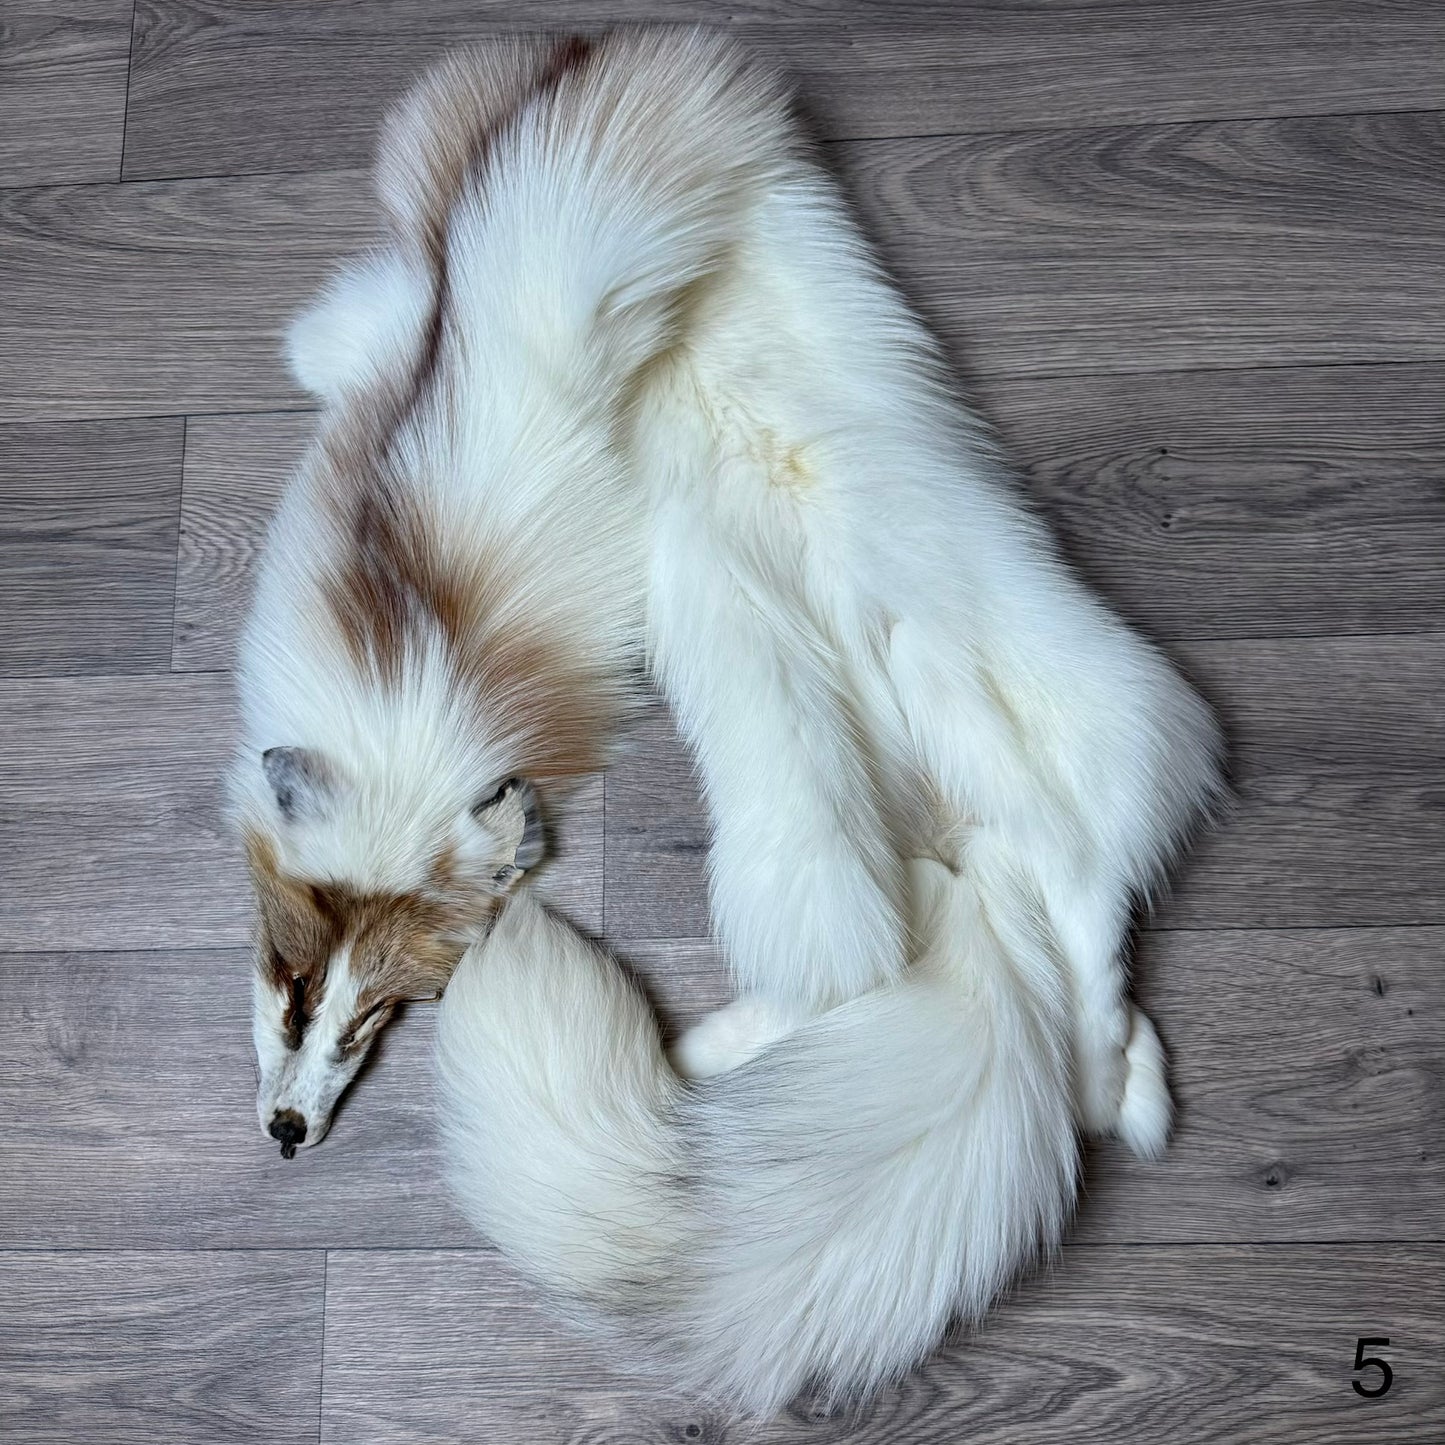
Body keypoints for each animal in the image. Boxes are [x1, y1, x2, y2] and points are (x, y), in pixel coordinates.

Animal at [232, 28, 1221, 1410]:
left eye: (357, 1015)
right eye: (291, 992)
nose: (283, 1135)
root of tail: (963, 843)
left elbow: (404, 303)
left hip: (998, 732)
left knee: (1061, 901)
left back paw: (1098, 1081)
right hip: (815, 822)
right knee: (937, 954)